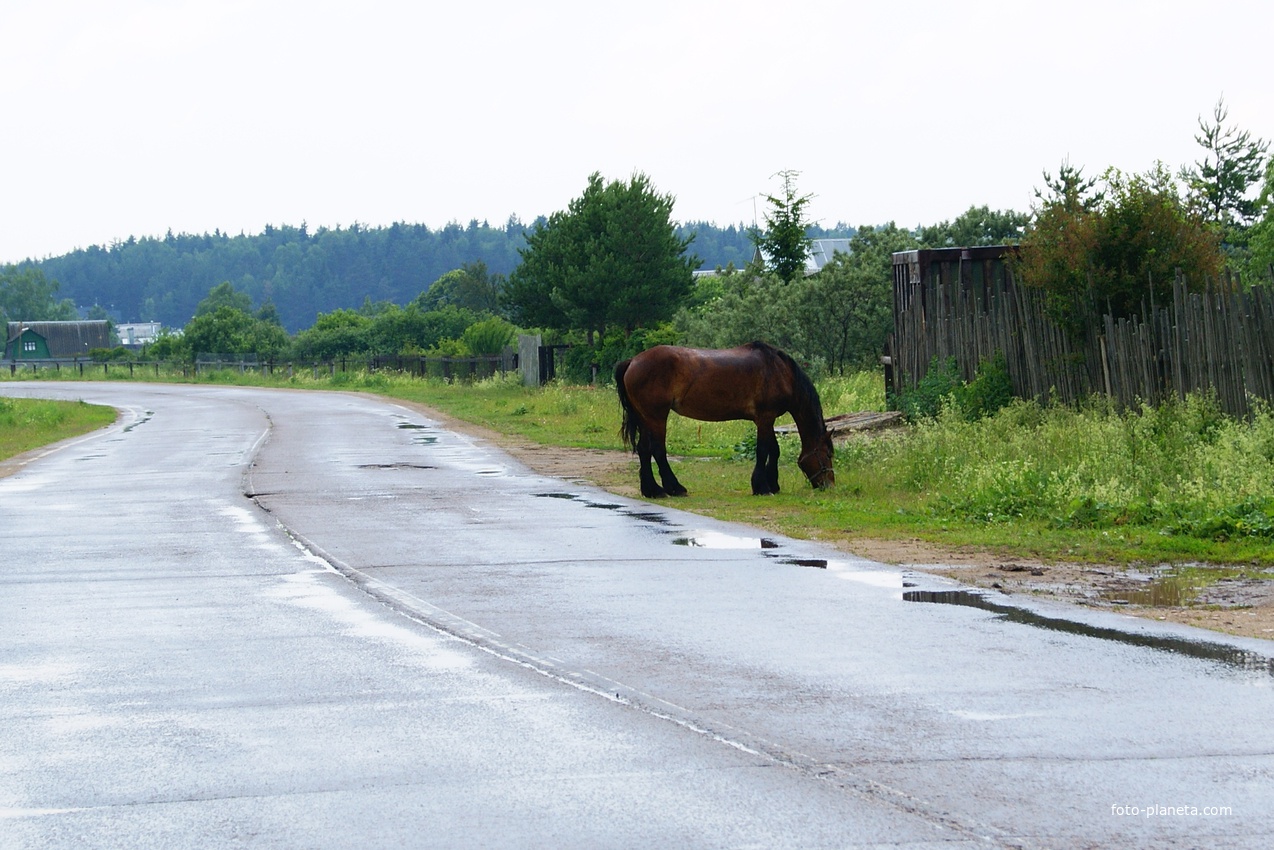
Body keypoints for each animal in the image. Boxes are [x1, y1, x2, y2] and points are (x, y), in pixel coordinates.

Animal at [611, 341, 830, 494]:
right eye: (828, 455)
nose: (829, 485)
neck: (779, 371)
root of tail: (632, 361)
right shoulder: (765, 417)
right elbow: (763, 450)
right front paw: (761, 486)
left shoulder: (767, 420)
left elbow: (773, 450)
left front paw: (772, 484)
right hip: (656, 417)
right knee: (657, 450)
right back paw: (674, 488)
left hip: (644, 417)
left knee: (644, 449)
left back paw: (652, 490)